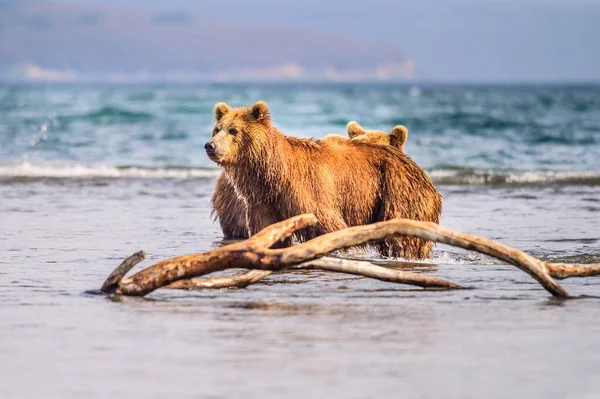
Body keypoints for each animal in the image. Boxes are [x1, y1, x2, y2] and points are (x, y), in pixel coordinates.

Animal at [206, 101, 440, 260]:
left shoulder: (309, 191)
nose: (210, 145)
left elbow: (330, 226)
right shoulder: (264, 204)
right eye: (217, 129)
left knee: (403, 239)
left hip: (398, 193)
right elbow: (270, 233)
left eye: (233, 130)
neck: (272, 176)